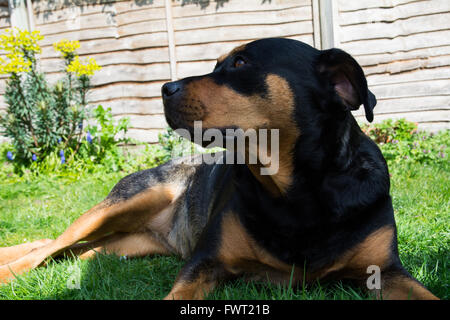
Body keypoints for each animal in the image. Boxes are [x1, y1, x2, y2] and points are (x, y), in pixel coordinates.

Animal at [0, 38, 438, 300]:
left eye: (241, 62)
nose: (164, 88)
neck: (297, 191)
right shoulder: (203, 263)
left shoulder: (387, 271)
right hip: (128, 201)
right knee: (50, 246)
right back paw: (11, 271)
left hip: (125, 244)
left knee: (76, 252)